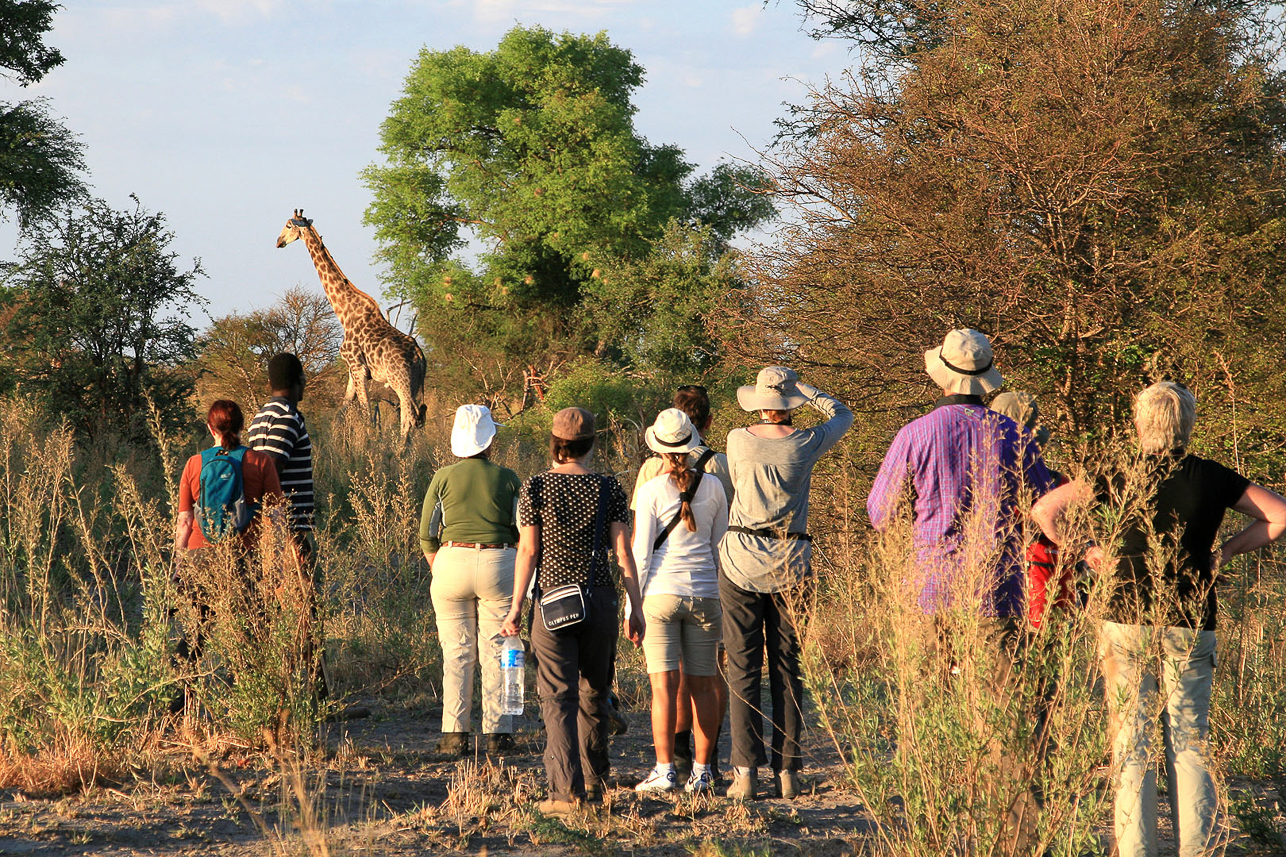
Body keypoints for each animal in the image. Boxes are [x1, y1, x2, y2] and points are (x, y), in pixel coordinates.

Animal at [276, 205, 426, 434]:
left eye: (288, 225)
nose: (278, 241)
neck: (344, 312)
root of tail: (420, 356)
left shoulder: (358, 367)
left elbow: (367, 416)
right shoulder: (350, 371)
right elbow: (341, 412)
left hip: (401, 382)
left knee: (408, 419)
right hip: (416, 384)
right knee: (416, 419)